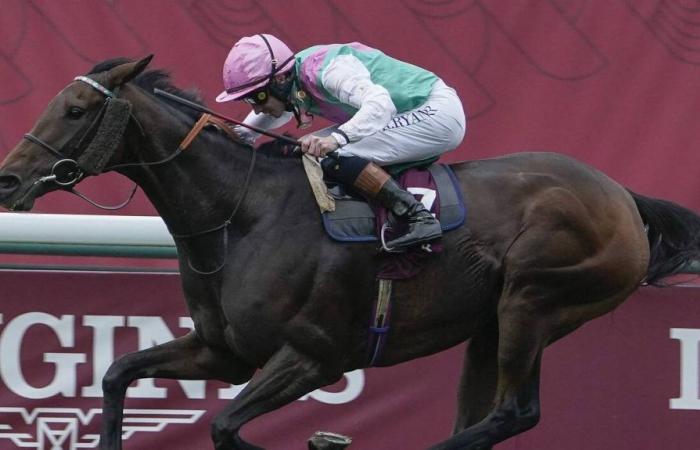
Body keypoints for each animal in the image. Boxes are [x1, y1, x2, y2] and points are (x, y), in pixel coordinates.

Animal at [1, 57, 700, 450]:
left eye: (77, 109)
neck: (243, 215)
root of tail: (622, 197)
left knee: (515, 412)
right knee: (488, 417)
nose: (8, 180)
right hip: (491, 324)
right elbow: (118, 374)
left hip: (535, 300)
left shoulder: (315, 356)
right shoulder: (224, 352)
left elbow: (225, 428)